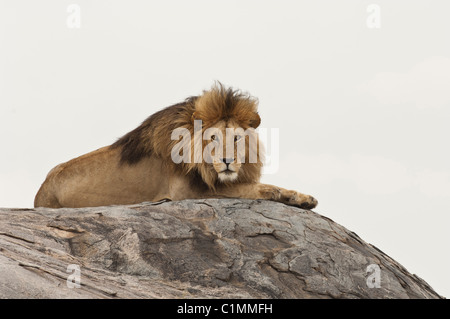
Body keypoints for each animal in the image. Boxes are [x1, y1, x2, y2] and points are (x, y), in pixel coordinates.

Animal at [34, 84, 316, 211]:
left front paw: (302, 198)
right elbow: (249, 189)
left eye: (237, 138)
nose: (227, 161)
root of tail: (40, 191)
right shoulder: (186, 192)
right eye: (213, 138)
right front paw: (283, 194)